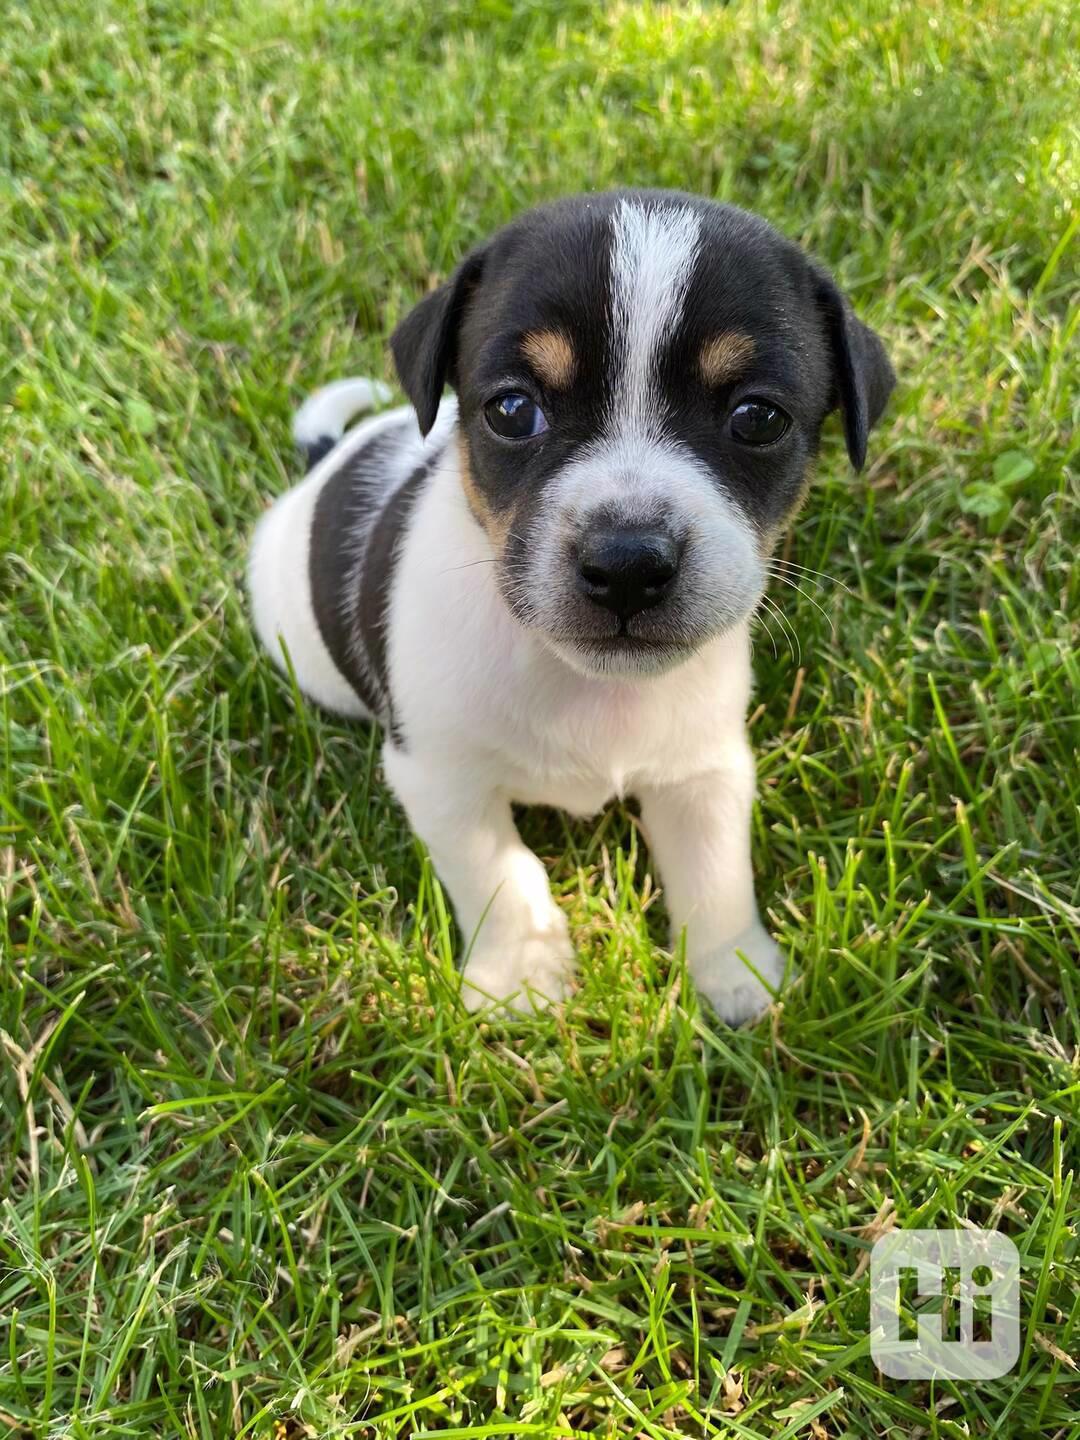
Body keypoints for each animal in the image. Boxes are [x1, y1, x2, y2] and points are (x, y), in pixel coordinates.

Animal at [247, 191, 898, 1025]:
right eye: (512, 410)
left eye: (759, 418)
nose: (627, 566)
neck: (584, 682)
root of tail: (326, 461)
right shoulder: (441, 779)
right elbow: (503, 877)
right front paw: (522, 978)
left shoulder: (705, 769)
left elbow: (716, 875)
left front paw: (735, 975)